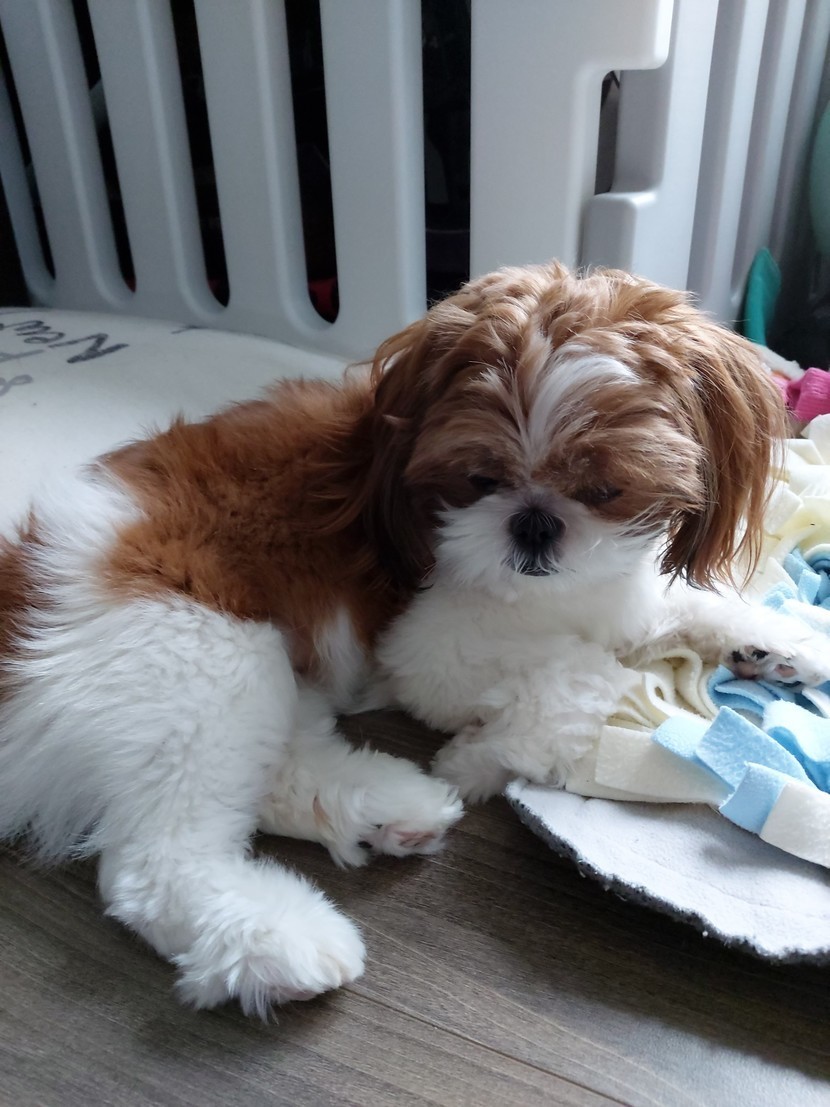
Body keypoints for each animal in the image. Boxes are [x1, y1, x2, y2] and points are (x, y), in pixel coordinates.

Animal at [0, 262, 823, 1016]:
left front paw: (778, 642)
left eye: (603, 489)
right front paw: (483, 757)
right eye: (479, 478)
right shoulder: (430, 650)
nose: (533, 524)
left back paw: (388, 805)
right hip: (201, 652)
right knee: (156, 861)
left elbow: (679, 608)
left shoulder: (621, 593)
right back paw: (281, 939)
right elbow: (581, 678)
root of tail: (19, 592)